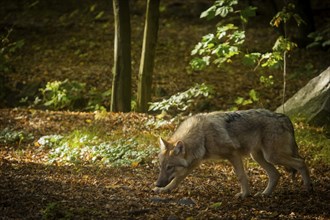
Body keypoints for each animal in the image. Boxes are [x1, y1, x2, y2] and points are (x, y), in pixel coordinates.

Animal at [153, 109, 314, 199]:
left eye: (169, 167)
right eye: (161, 167)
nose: (157, 183)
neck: (202, 135)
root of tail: (286, 118)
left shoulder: (233, 155)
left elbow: (241, 176)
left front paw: (244, 195)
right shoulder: (194, 163)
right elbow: (177, 179)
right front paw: (164, 190)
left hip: (272, 156)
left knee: (301, 162)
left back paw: (308, 188)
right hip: (258, 156)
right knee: (276, 174)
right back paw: (264, 194)